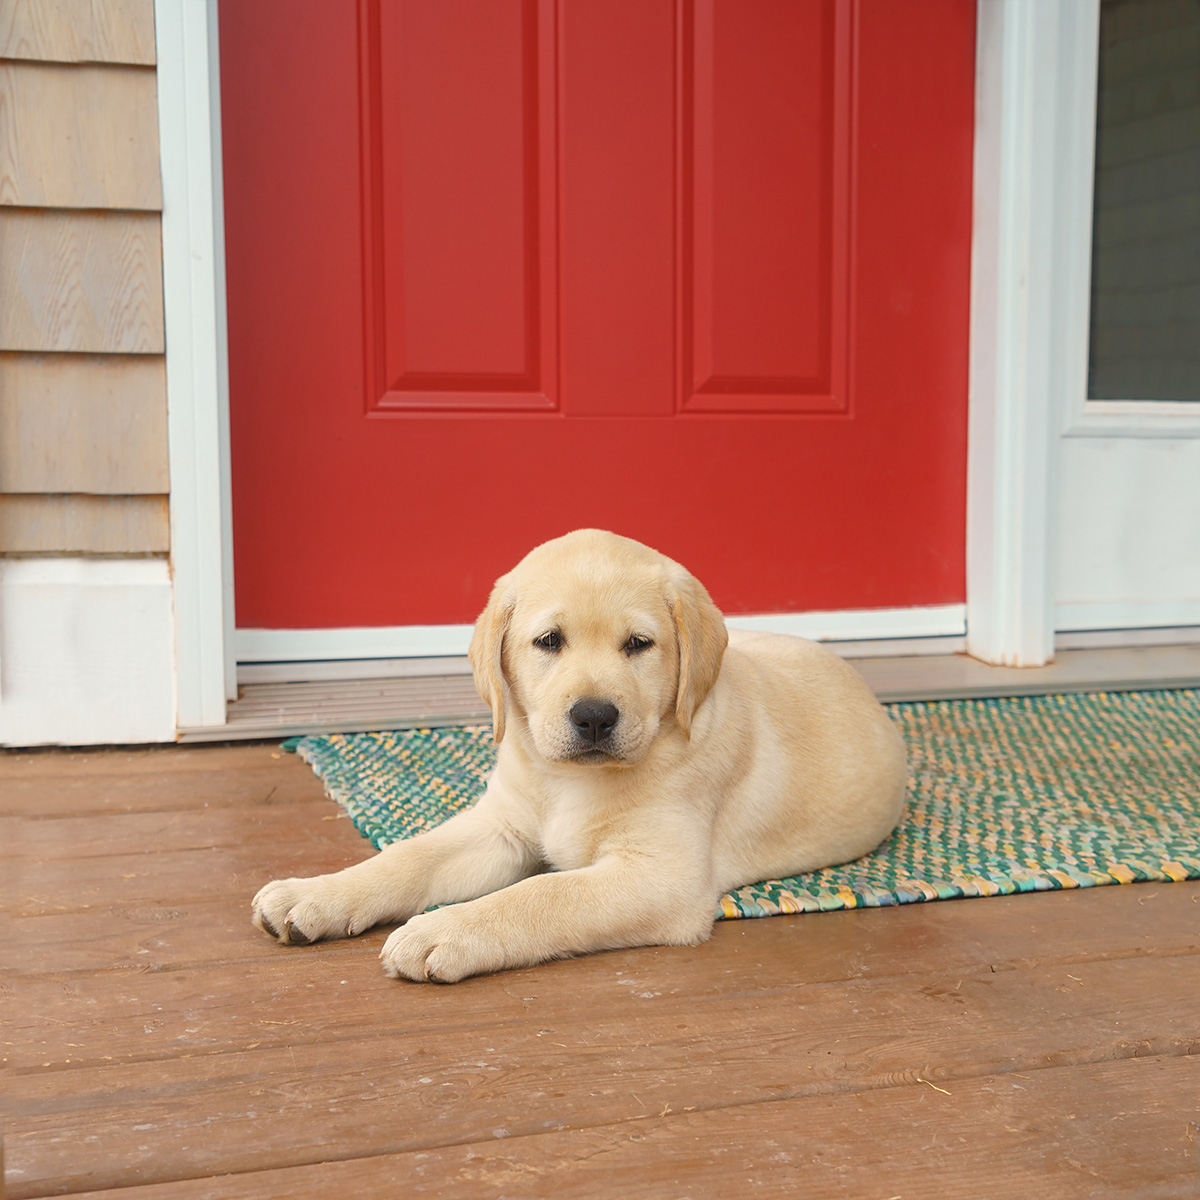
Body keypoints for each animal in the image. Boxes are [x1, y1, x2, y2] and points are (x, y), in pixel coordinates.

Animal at [255, 530, 907, 979]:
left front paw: (444, 929)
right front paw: (312, 894)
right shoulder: (501, 828)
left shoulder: (660, 876)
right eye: (549, 641)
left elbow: (541, 894)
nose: (594, 716)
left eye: (639, 644)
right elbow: (407, 858)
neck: (565, 781)